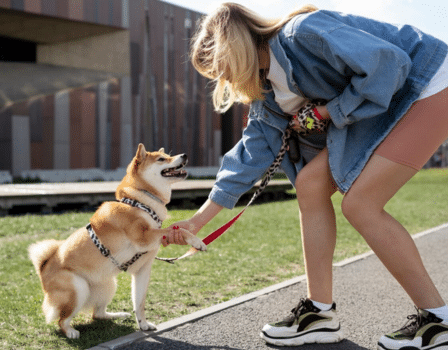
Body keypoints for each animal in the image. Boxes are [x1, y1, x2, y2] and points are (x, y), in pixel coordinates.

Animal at [28, 144, 207, 338]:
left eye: (168, 155)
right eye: (161, 159)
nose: (184, 155)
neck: (140, 202)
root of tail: (43, 268)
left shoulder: (143, 270)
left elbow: (139, 303)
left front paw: (143, 325)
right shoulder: (143, 238)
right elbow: (174, 229)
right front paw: (196, 241)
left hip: (109, 285)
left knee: (97, 314)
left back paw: (118, 315)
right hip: (79, 288)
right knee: (62, 320)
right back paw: (70, 332)